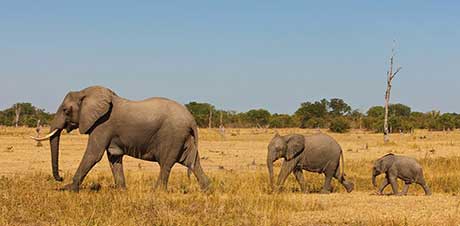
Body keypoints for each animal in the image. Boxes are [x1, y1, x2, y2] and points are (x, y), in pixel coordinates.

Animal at [31, 85, 210, 192]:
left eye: (66, 110)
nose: (60, 178)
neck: (85, 93)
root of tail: (191, 119)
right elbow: (114, 157)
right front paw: (121, 190)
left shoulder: (102, 124)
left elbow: (93, 155)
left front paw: (69, 189)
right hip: (184, 137)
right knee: (191, 162)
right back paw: (206, 189)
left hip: (172, 135)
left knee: (166, 162)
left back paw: (156, 191)